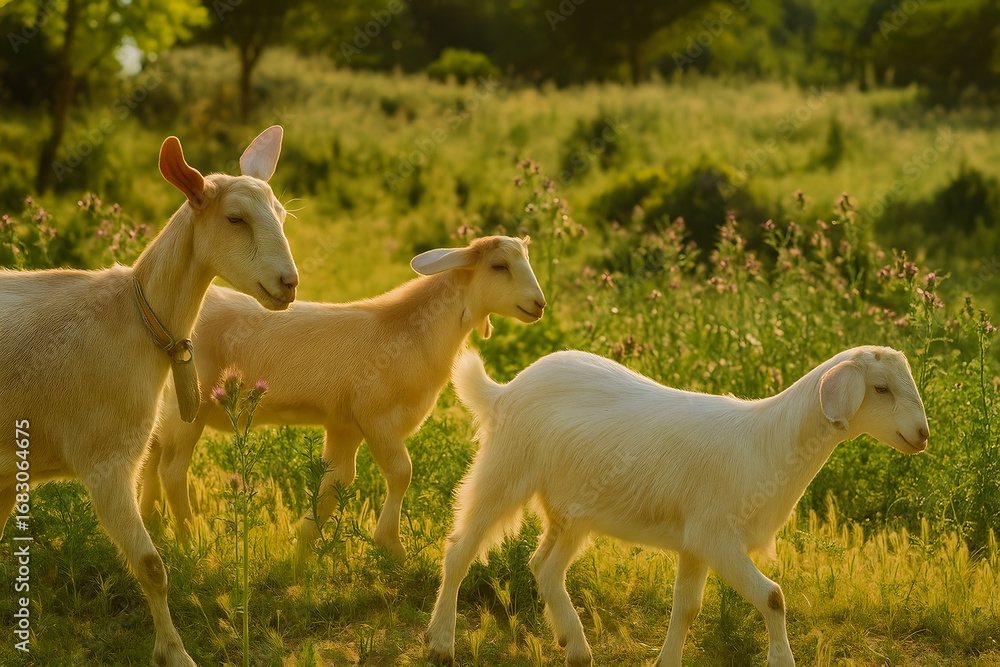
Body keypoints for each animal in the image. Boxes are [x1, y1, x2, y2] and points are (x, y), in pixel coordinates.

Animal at [0, 127, 299, 667]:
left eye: (282, 216)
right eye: (235, 218)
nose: (288, 284)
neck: (134, 320)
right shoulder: (105, 461)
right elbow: (151, 566)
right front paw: (174, 653)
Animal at [138, 235, 546, 563]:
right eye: (498, 266)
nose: (538, 304)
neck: (410, 330)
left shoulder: (344, 424)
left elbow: (337, 481)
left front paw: (302, 555)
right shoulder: (377, 416)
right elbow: (401, 472)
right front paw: (391, 547)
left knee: (151, 454)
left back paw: (152, 524)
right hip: (189, 406)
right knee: (172, 467)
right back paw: (191, 541)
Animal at [427, 346, 929, 666]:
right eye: (880, 388)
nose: (923, 435)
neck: (769, 442)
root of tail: (503, 390)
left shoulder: (695, 543)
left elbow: (686, 608)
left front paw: (667, 661)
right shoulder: (717, 537)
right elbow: (773, 596)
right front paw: (781, 660)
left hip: (572, 511)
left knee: (544, 566)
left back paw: (576, 646)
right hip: (504, 472)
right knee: (459, 550)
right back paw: (441, 643)